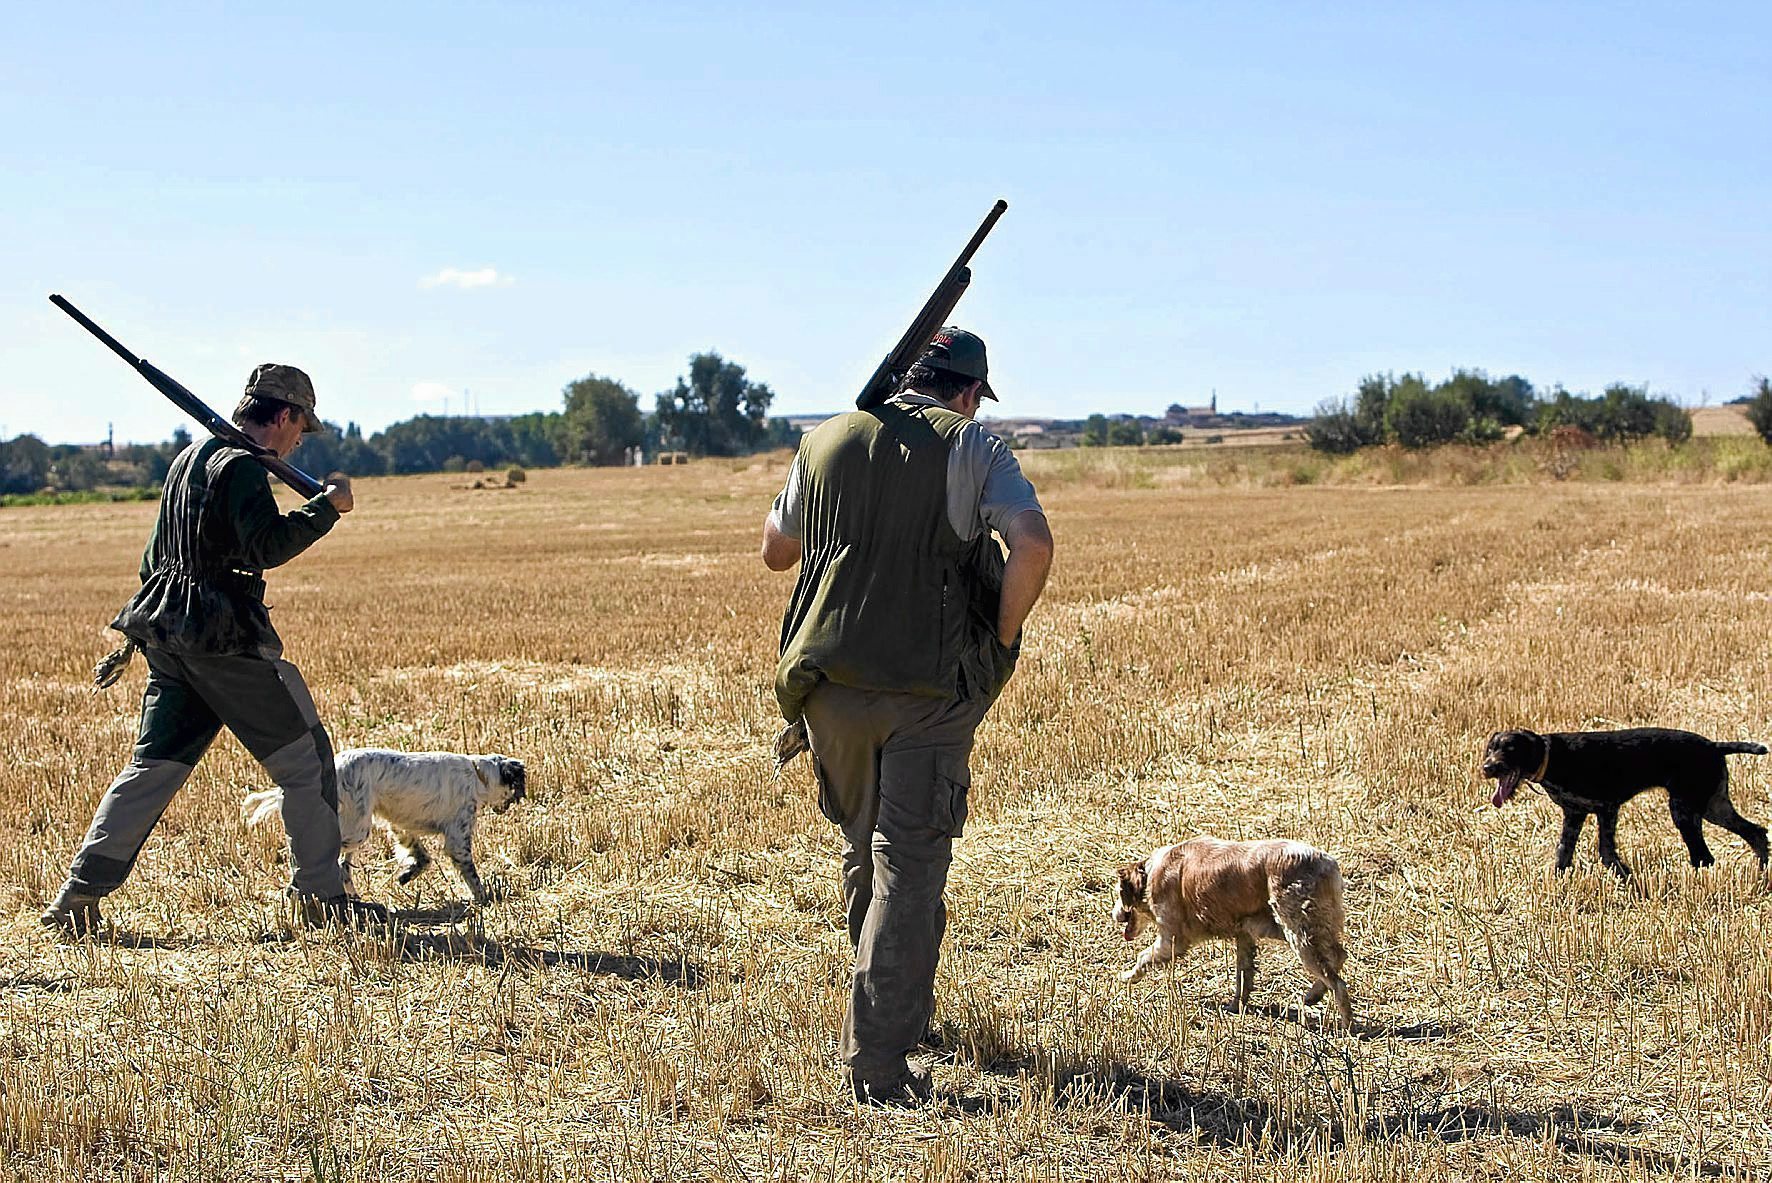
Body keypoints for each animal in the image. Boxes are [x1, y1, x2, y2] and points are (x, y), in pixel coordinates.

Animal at [248, 747, 524, 906]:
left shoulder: (402, 826)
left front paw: (407, 874)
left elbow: (422, 857)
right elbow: (471, 874)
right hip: (357, 829)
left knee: (342, 866)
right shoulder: (458, 837)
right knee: (329, 857)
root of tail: (334, 766)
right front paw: (483, 897)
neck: (477, 774)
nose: (514, 803)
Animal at [1112, 835, 1346, 1020]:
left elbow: (1142, 957)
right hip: (1300, 928)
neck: (1151, 873)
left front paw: (1127, 976)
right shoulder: (1244, 935)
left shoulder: (1172, 939)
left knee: (1337, 982)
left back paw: (1345, 1025)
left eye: (1118, 894)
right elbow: (1243, 976)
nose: (1113, 914)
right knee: (1338, 956)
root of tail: (1328, 863)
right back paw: (1314, 995)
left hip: (1296, 930)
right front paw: (1235, 1006)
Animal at [1488, 726, 1764, 881]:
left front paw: (1628, 879)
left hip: (1689, 808)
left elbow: (1606, 853)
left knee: (1705, 855)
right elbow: (1563, 854)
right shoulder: (1575, 814)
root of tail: (1714, 745)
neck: (1552, 757)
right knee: (1755, 833)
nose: (1487, 768)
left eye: (1510, 748)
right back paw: (1761, 876)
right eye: (1491, 748)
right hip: (1712, 806)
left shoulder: (1607, 808)